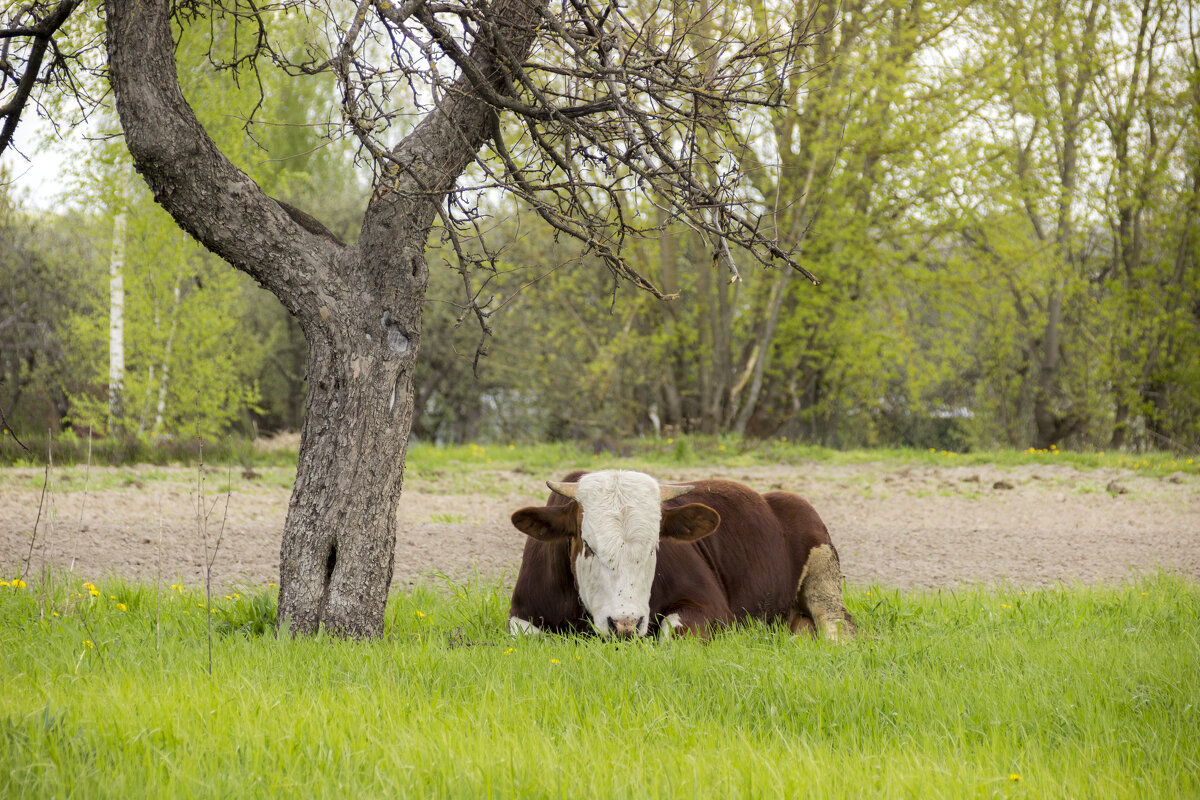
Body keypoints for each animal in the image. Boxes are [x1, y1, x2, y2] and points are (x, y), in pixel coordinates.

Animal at [506, 472, 854, 642]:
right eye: (588, 545)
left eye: (654, 547)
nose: (625, 623)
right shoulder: (523, 613)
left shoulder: (712, 609)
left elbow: (671, 632)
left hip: (824, 577)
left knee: (839, 626)